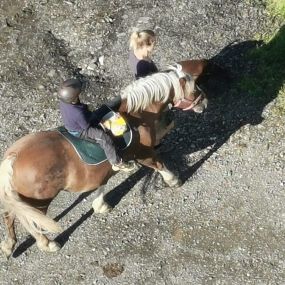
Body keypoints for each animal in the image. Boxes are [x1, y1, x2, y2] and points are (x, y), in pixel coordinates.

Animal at [0, 58, 209, 256]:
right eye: (193, 87)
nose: (204, 102)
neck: (136, 116)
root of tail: (13, 157)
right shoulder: (143, 153)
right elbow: (159, 164)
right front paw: (174, 180)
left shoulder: (105, 169)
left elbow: (102, 182)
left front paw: (100, 205)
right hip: (40, 200)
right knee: (29, 221)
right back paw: (47, 244)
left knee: (10, 215)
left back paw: (9, 246)